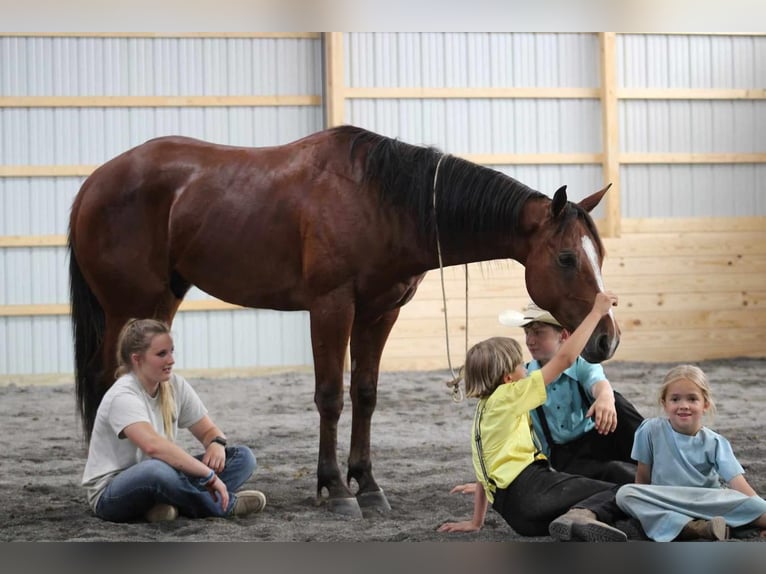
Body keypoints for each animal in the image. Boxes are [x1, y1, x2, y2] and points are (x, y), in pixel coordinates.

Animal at [69, 126, 620, 520]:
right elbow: (331, 396)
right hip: (130, 304)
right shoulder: (331, 308)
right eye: (567, 257)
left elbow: (366, 394)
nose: (605, 339)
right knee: (108, 377)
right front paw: (335, 488)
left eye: (600, 254)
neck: (381, 202)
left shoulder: (380, 312)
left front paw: (367, 484)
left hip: (161, 299)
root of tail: (94, 183)